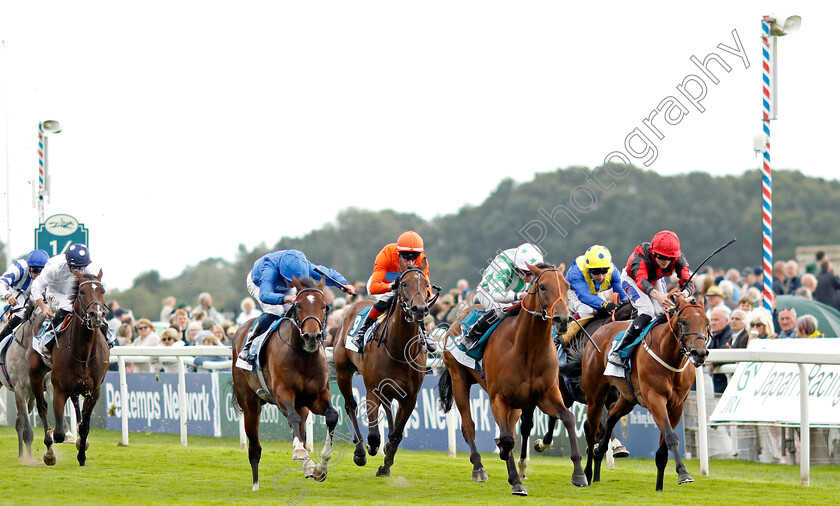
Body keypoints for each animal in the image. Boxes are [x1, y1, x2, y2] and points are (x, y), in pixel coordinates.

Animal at [29, 268, 109, 466]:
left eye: (102, 291)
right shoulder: (59, 388)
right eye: (82, 292)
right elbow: (58, 433)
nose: (96, 316)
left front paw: (82, 454)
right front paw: (52, 449)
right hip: (35, 374)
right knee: (42, 407)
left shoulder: (93, 391)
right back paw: (49, 452)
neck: (83, 354)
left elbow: (85, 426)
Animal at [233, 276, 338, 490]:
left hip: (302, 405)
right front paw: (299, 452)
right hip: (250, 405)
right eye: (298, 305)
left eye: (325, 306)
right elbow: (293, 419)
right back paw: (256, 485)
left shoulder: (317, 396)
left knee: (302, 428)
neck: (303, 357)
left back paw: (309, 467)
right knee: (254, 447)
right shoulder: (282, 394)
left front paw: (320, 466)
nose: (312, 337)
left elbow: (332, 416)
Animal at [332, 258, 434, 476]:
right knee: (350, 405)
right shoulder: (373, 390)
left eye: (426, 285)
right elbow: (373, 435)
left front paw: (385, 465)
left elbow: (396, 434)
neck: (399, 350)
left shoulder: (410, 397)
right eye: (404, 284)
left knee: (388, 408)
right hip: (343, 372)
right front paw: (371, 449)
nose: (419, 309)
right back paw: (360, 451)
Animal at [440, 262, 584, 496]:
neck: (527, 349)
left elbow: (568, 418)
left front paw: (579, 473)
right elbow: (507, 438)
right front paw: (516, 482)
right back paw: (478, 468)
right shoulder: (498, 397)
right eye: (542, 287)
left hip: (517, 402)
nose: (563, 320)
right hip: (458, 379)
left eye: (567, 286)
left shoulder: (547, 395)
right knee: (469, 426)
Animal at [576, 292, 708, 490]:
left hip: (627, 398)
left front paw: (660, 486)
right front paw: (684, 473)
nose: (699, 353)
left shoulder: (677, 406)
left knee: (611, 417)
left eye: (707, 322)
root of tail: (599, 330)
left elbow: (663, 449)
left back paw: (601, 452)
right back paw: (587, 473)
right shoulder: (655, 398)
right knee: (591, 429)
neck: (668, 355)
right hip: (595, 394)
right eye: (684, 321)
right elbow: (671, 436)